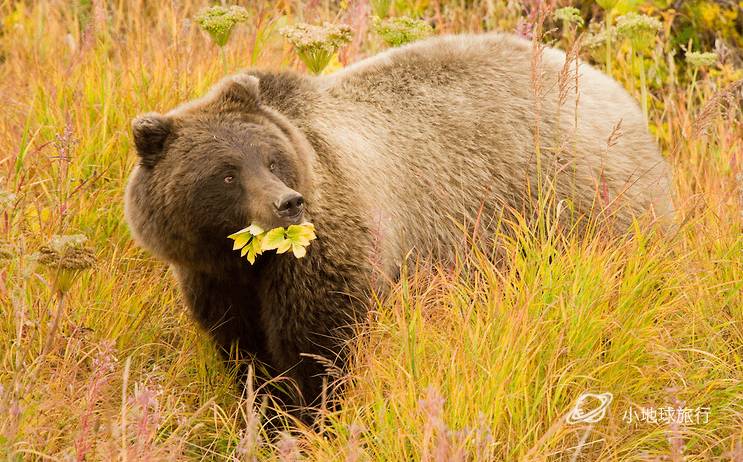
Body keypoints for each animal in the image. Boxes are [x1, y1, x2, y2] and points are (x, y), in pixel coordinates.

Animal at [126, 32, 676, 416]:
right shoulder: (215, 279)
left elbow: (321, 352)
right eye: (226, 173)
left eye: (273, 160)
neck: (250, 260)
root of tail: (616, 92)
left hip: (585, 210)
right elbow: (246, 358)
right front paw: (265, 416)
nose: (288, 204)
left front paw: (316, 418)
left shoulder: (327, 257)